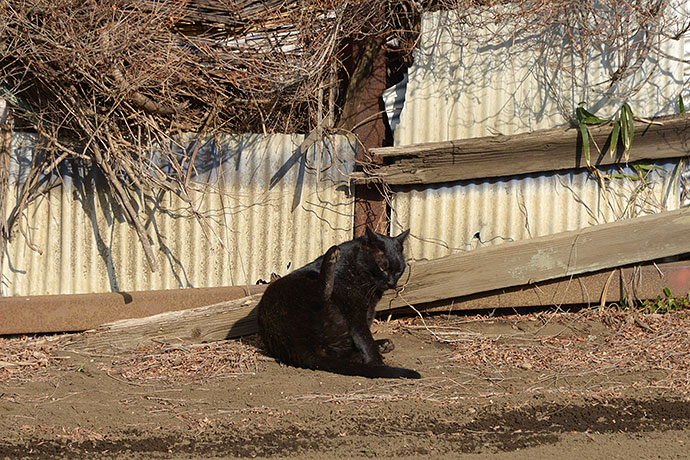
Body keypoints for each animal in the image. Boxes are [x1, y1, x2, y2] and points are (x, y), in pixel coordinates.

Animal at [256, 228, 420, 380]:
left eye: (399, 271)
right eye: (382, 268)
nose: (391, 282)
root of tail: (297, 350)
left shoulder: (367, 312)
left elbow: (364, 338)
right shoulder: (354, 312)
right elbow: (365, 339)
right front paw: (377, 362)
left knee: (336, 352)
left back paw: (382, 345)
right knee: (324, 290)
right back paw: (331, 256)